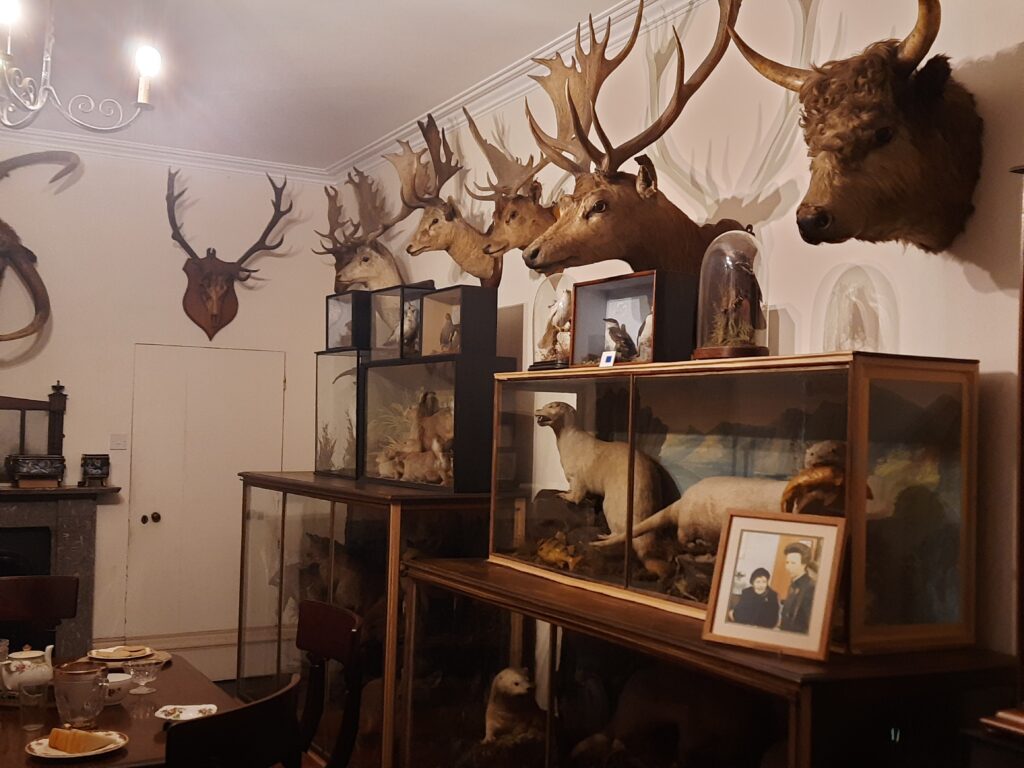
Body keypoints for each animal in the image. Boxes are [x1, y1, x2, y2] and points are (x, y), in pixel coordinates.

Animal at [536, 405, 663, 573]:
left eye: (551, 406)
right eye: (544, 406)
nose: (537, 410)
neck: (571, 443)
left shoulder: (577, 476)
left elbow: (577, 495)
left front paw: (563, 495)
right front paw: (567, 492)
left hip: (611, 505)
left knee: (619, 532)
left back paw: (603, 537)